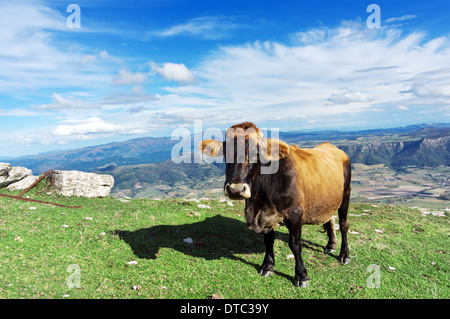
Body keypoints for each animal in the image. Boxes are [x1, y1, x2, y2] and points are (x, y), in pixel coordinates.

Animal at [200, 122, 352, 288]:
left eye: (256, 153)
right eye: (225, 153)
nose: (236, 189)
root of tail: (332, 147)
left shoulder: (295, 213)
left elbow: (295, 244)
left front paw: (301, 275)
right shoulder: (264, 215)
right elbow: (268, 240)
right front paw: (267, 266)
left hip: (346, 194)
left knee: (343, 224)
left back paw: (344, 254)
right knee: (330, 218)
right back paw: (331, 245)